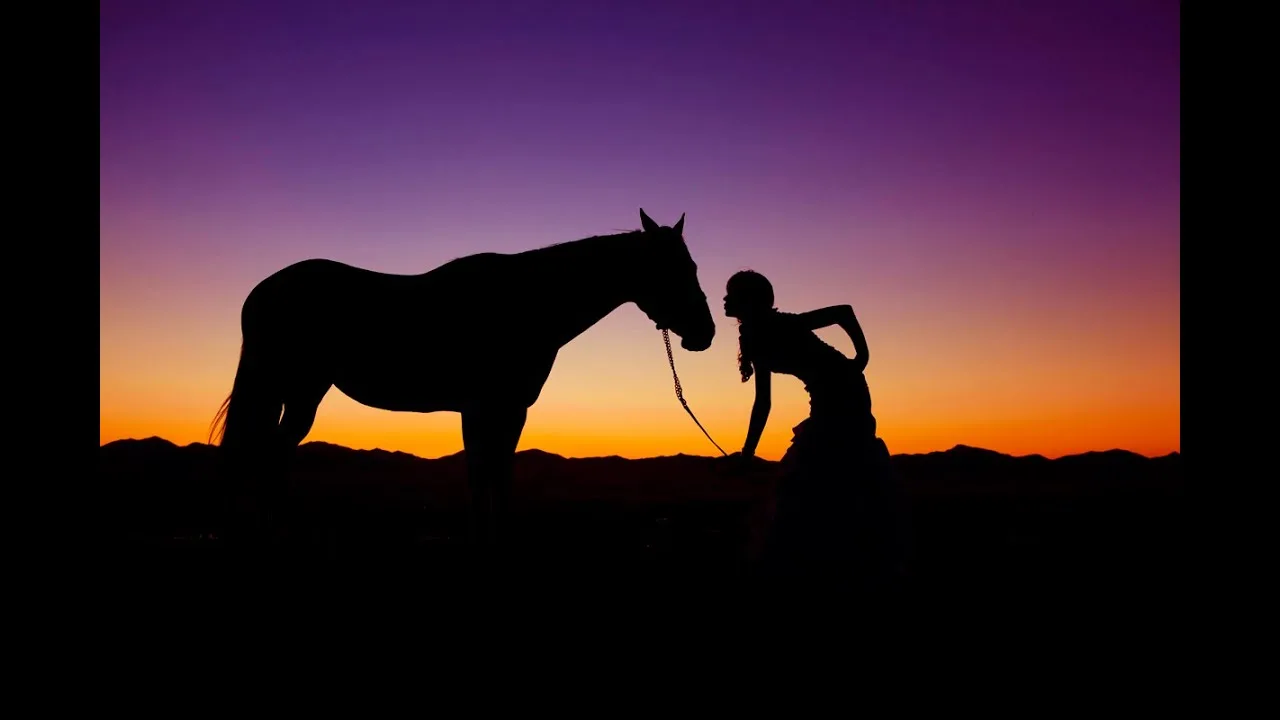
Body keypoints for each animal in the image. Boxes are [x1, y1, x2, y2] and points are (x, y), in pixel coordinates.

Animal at [209, 208, 717, 554]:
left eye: (693, 267)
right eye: (675, 269)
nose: (705, 333)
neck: (526, 303)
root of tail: (265, 290)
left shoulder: (508, 410)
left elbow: (498, 474)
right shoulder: (481, 409)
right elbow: (481, 474)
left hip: (295, 393)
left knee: (270, 453)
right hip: (292, 387)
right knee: (264, 453)